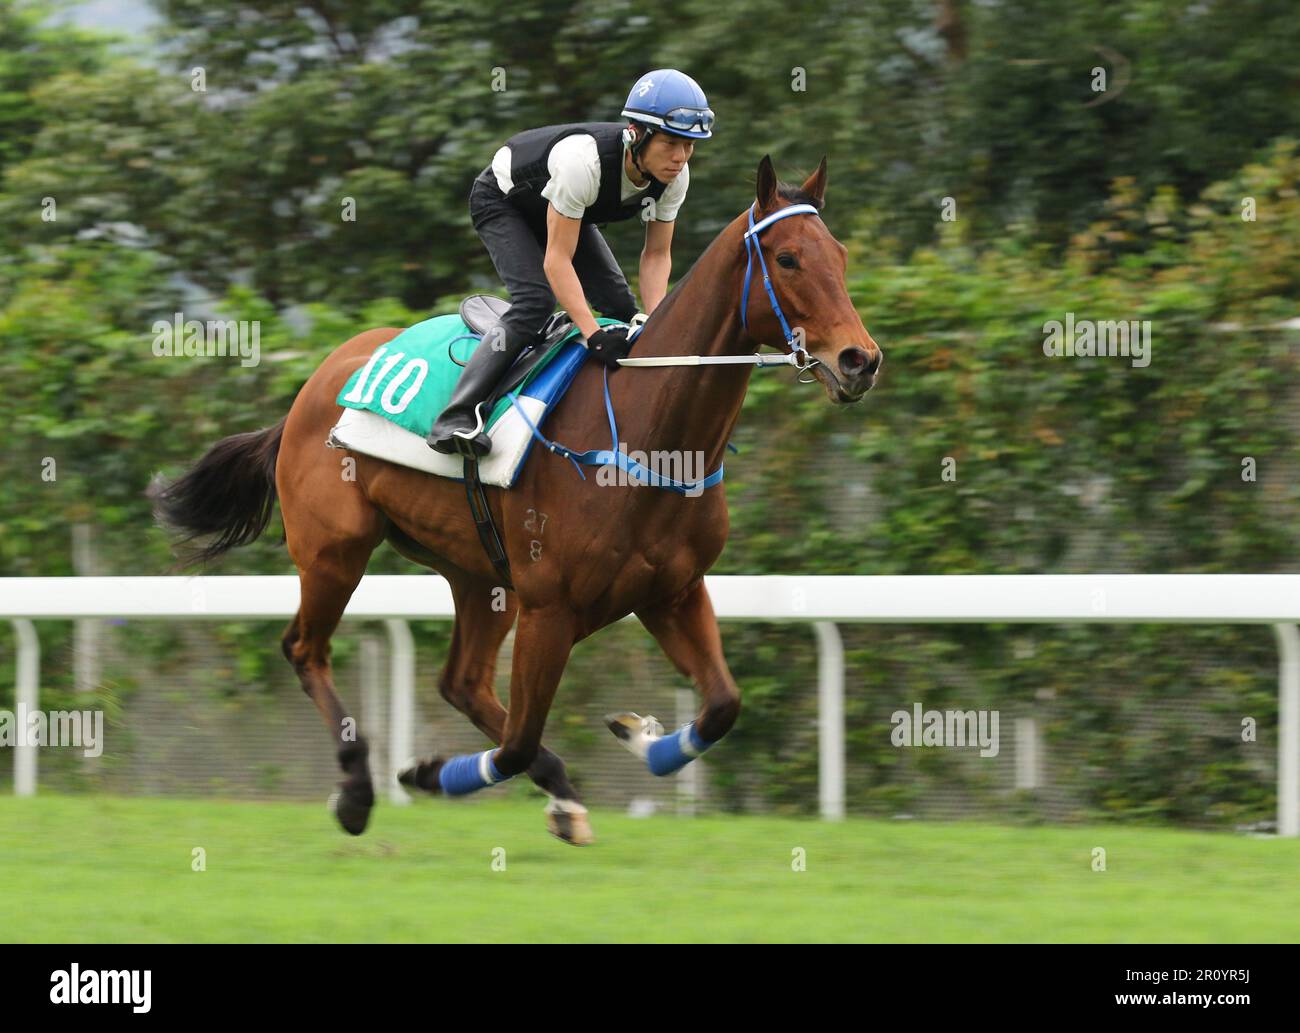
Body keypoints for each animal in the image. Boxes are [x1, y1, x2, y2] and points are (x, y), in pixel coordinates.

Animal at [152, 157, 883, 841]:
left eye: (841, 255)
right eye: (788, 258)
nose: (860, 360)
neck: (645, 433)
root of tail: (314, 385)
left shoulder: (671, 591)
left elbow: (722, 704)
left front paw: (639, 736)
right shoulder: (551, 608)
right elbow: (517, 742)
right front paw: (426, 773)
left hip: (479, 574)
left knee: (462, 680)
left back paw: (553, 790)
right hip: (335, 550)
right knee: (308, 650)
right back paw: (358, 790)